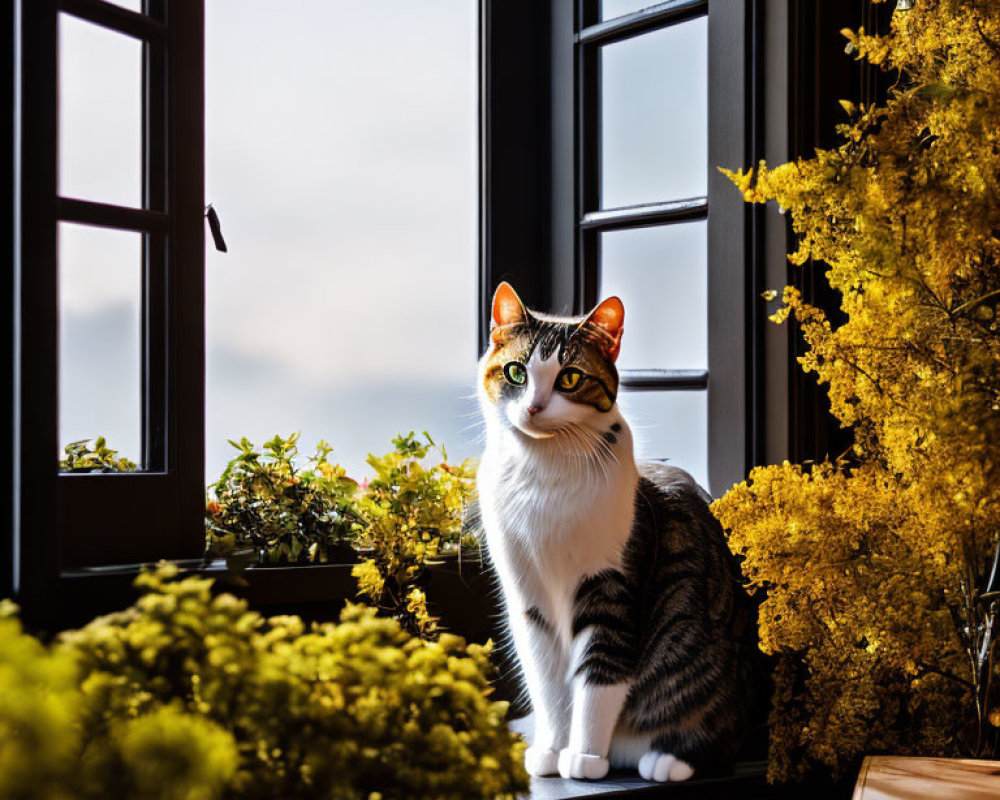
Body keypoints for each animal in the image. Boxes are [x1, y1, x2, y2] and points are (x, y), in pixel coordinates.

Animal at [476, 280, 756, 780]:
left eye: (569, 378)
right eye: (515, 372)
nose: (533, 406)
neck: (543, 475)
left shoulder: (611, 587)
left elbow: (600, 675)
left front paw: (585, 758)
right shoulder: (528, 599)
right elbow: (547, 684)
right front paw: (551, 750)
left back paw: (667, 759)